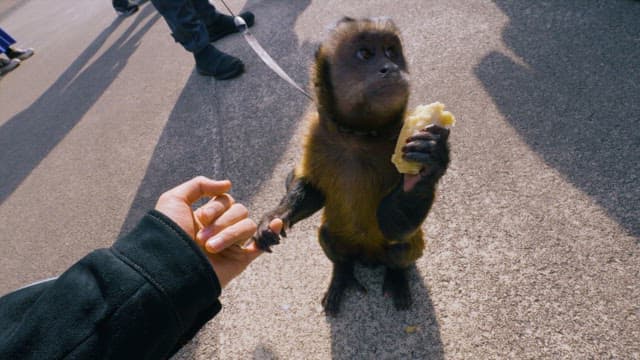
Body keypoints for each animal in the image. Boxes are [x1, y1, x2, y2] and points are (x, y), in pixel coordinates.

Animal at [254, 16, 450, 316]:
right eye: (365, 54)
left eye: (391, 51)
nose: (390, 67)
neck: (360, 135)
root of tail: (367, 257)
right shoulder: (317, 133)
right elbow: (312, 189)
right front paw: (274, 216)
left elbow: (394, 227)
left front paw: (427, 166)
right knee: (328, 235)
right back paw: (342, 272)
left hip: (385, 251)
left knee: (400, 245)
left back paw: (396, 274)